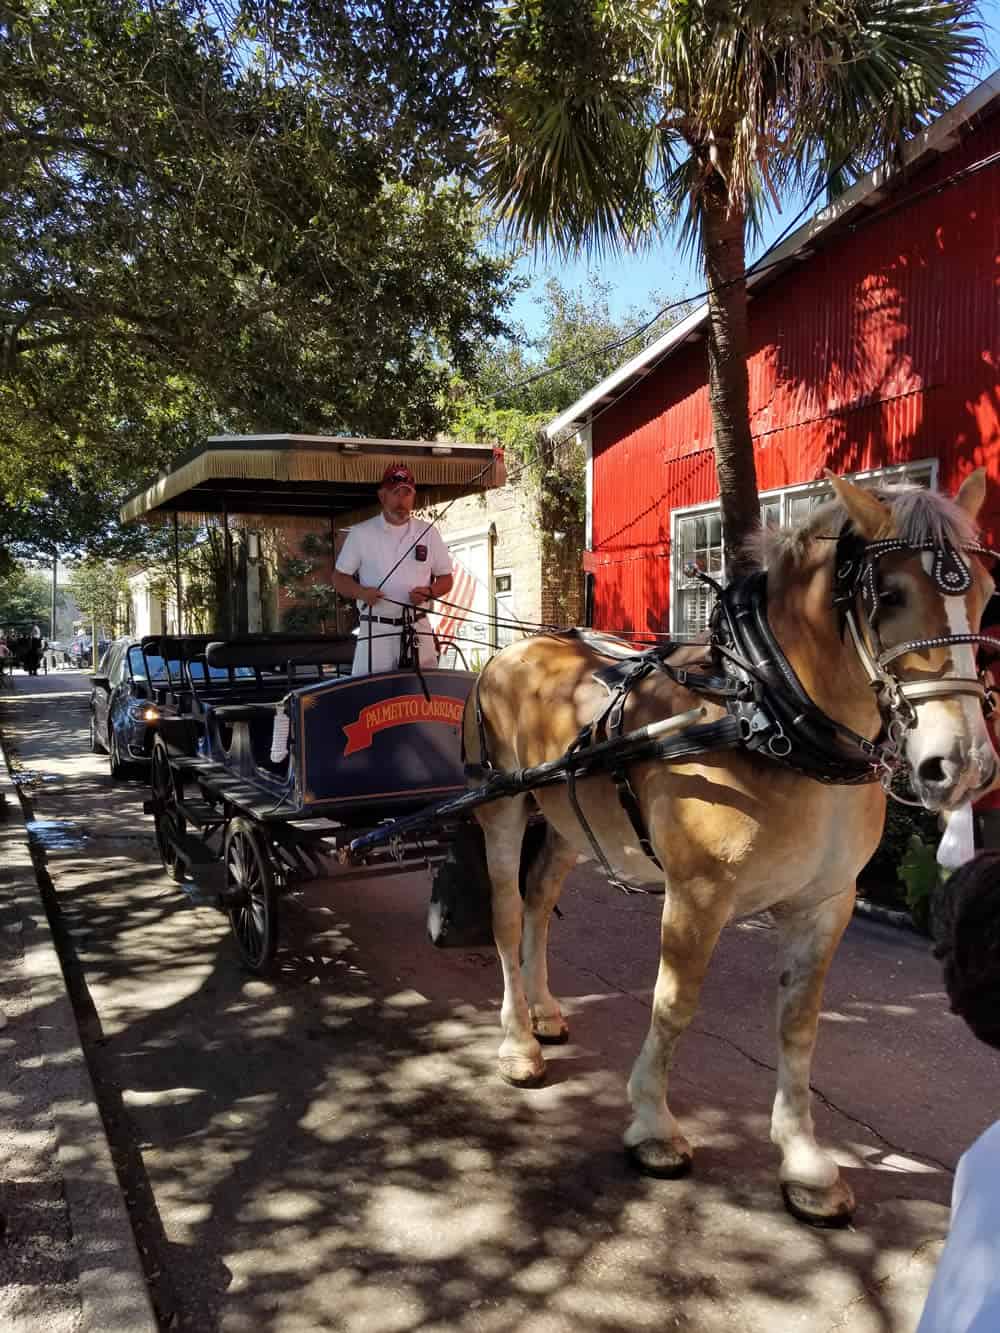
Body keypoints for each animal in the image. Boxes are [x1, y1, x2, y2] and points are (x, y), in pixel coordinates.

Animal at [466, 474, 997, 1221]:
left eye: (986, 592)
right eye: (889, 595)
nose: (964, 765)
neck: (768, 714)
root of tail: (512, 652)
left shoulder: (826, 903)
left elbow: (800, 1023)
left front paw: (804, 1160)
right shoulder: (698, 894)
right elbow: (674, 1004)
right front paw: (653, 1124)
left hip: (570, 816)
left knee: (540, 901)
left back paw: (543, 1012)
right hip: (504, 804)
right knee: (509, 912)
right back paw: (516, 1040)